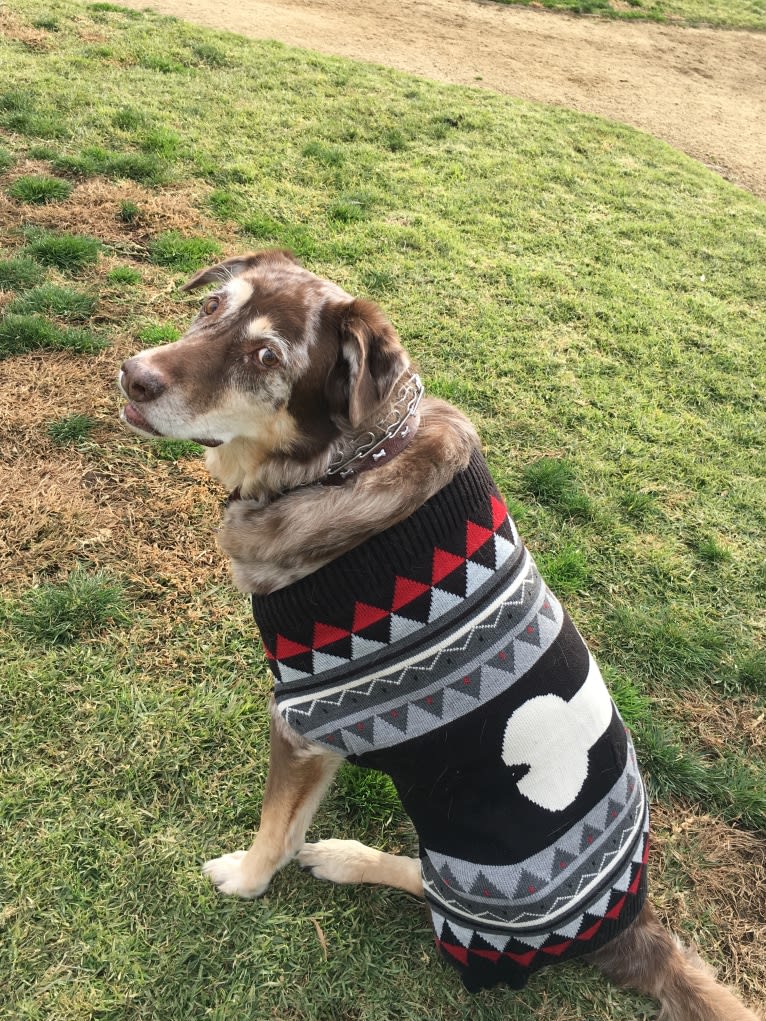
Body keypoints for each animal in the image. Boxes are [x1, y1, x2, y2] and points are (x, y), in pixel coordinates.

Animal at [120, 249, 763, 1021]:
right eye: (212, 305)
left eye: (266, 356)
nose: (133, 374)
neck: (349, 463)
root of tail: (627, 921)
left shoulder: (304, 718)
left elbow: (276, 829)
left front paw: (244, 878)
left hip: (468, 866)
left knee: (430, 890)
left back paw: (346, 858)